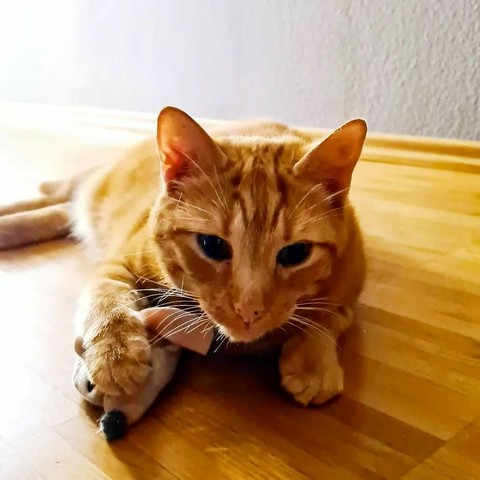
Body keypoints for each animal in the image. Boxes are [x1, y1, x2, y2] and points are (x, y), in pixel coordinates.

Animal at [71, 108, 366, 404]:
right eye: (212, 245)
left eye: (296, 253)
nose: (248, 310)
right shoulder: (118, 262)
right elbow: (106, 297)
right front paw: (114, 351)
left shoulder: (351, 277)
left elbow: (330, 314)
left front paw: (313, 359)